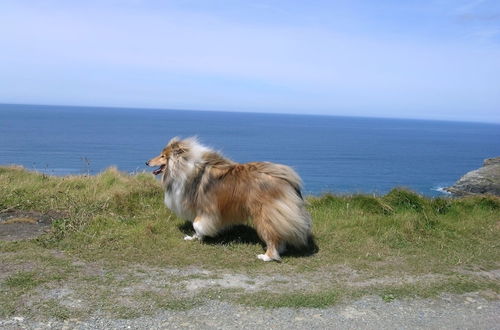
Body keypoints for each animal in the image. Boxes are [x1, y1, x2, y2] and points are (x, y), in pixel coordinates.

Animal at [145, 137, 310, 260]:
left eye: (163, 156)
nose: (146, 162)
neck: (183, 166)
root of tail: (285, 178)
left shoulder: (206, 208)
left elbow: (197, 224)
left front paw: (199, 236)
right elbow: (197, 226)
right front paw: (195, 238)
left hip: (264, 214)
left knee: (271, 236)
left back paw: (267, 256)